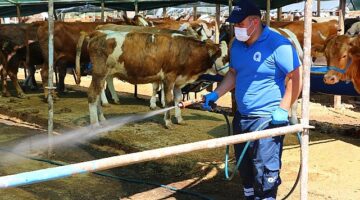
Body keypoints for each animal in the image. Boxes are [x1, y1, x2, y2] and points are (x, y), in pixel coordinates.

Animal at [79, 30, 228, 129]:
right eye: (225, 57)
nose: (231, 71)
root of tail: (99, 34)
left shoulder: (179, 81)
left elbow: (178, 99)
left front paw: (179, 119)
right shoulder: (169, 77)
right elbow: (168, 100)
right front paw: (168, 122)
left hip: (102, 75)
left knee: (98, 95)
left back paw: (102, 119)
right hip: (99, 73)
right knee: (92, 94)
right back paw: (95, 124)